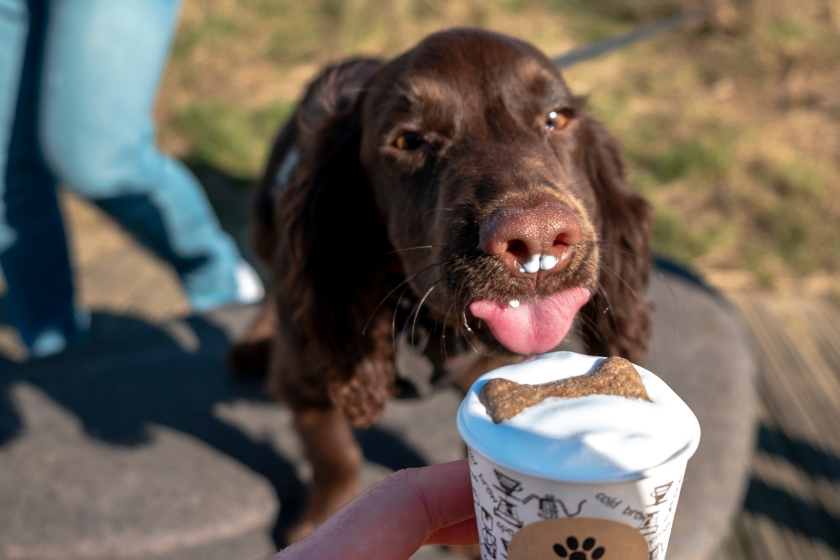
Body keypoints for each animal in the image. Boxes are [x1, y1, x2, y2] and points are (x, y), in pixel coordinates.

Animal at [231, 27, 656, 544]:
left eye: (557, 117)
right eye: (408, 139)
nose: (536, 237)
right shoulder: (306, 380)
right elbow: (335, 457)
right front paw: (321, 522)